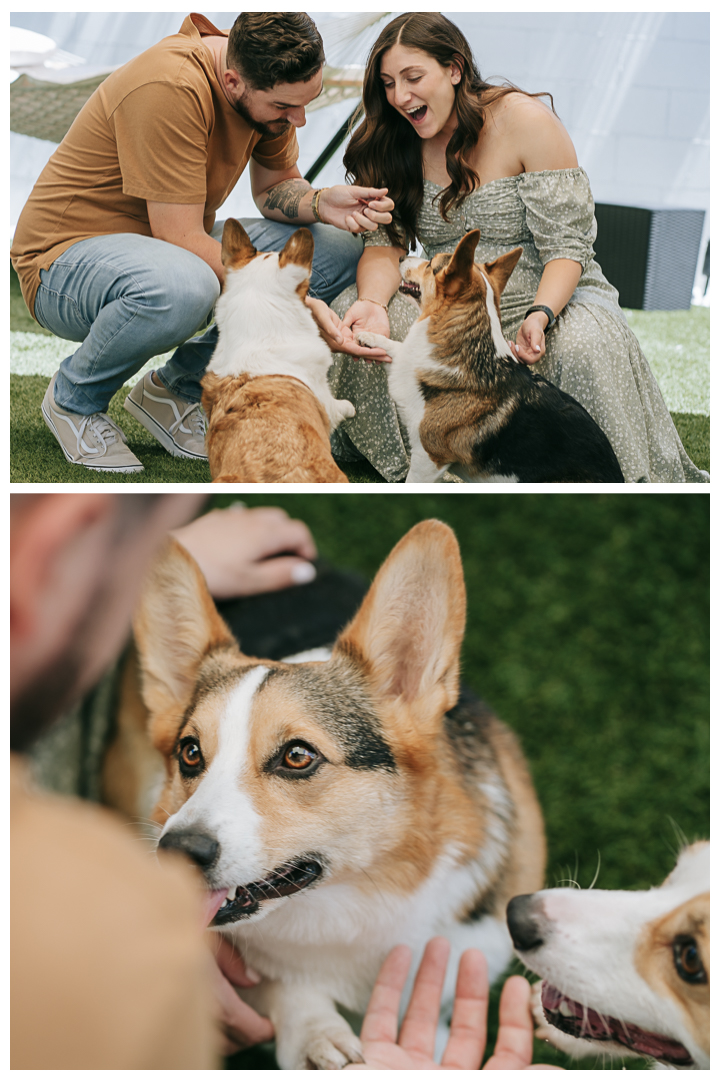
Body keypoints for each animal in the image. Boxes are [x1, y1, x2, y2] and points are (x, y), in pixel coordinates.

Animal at [131, 518, 546, 1067]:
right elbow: (284, 986)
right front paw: (315, 1034)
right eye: (191, 752)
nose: (177, 850)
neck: (353, 897)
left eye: (297, 756)